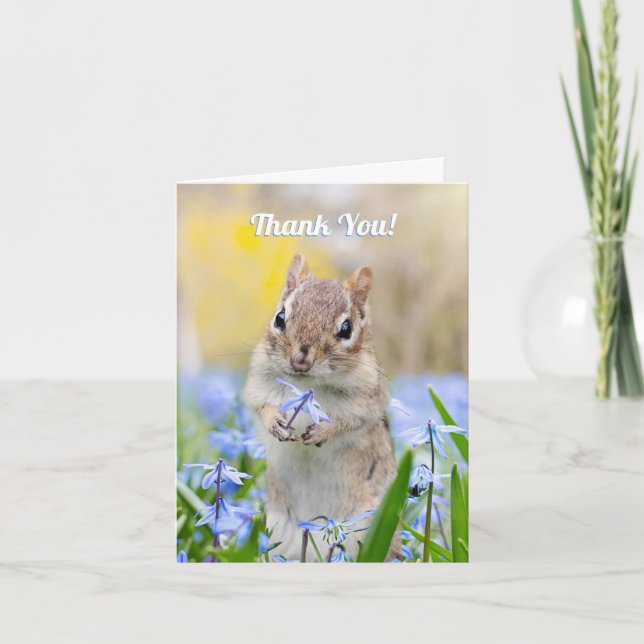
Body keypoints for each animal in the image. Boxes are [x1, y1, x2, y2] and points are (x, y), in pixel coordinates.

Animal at [243, 253, 399, 561]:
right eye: (280, 317)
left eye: (346, 328)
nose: (300, 361)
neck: (308, 384)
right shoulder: (259, 384)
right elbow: (261, 406)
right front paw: (275, 423)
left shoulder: (366, 400)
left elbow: (348, 422)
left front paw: (322, 432)